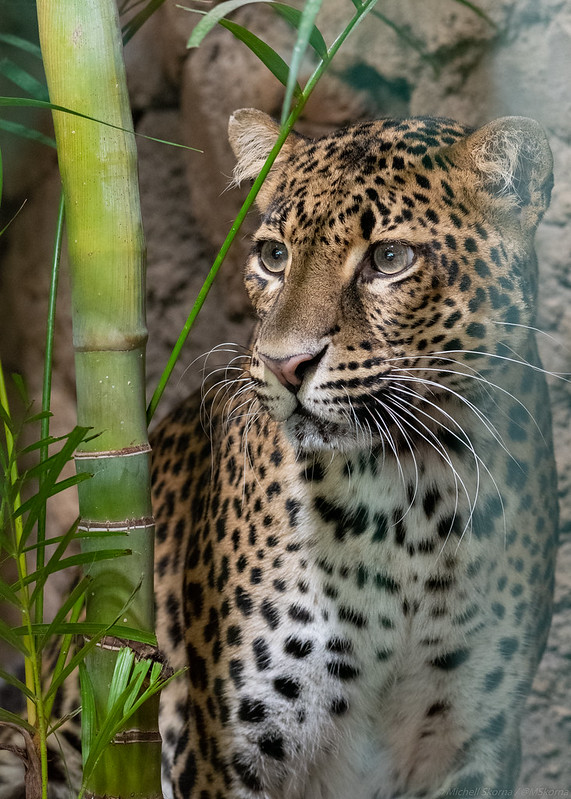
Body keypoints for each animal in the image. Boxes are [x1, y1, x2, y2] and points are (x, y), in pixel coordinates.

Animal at [150, 109, 559, 798]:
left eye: (389, 258)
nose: (284, 364)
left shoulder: (476, 745)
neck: (411, 501)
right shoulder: (227, 752)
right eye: (274, 255)